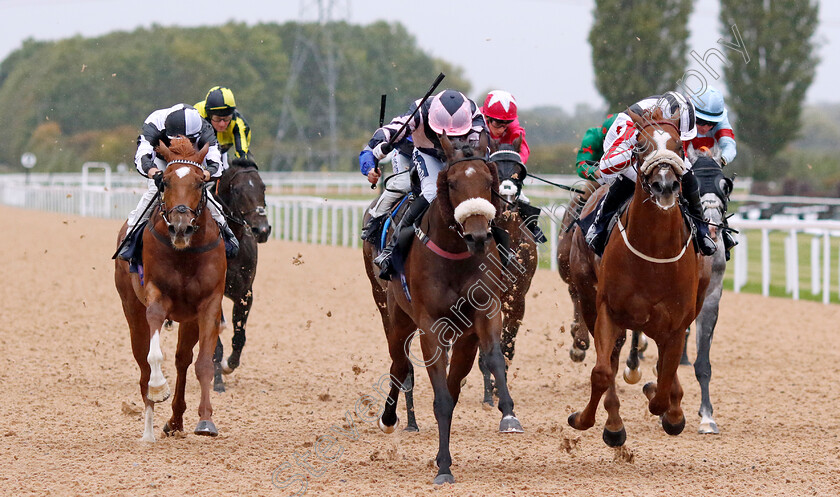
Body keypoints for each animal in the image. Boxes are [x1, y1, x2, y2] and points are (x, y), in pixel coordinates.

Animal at [115, 134, 226, 440]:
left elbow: (203, 363)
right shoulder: (156, 295)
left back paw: (175, 421)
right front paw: (158, 388)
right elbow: (153, 353)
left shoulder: (209, 304)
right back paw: (149, 430)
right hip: (131, 308)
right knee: (142, 365)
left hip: (188, 319)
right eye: (164, 181)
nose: (180, 227)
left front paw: (206, 421)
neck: (184, 253)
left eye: (200, 182)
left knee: (182, 360)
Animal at [364, 130, 520, 482]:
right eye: (452, 183)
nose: (478, 235)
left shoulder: (486, 311)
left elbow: (493, 358)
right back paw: (390, 418)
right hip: (394, 314)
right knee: (399, 366)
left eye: (488, 181)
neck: (455, 256)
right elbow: (440, 397)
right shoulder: (430, 326)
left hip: (462, 336)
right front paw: (445, 467)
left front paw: (508, 414)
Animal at [472, 137, 540, 406]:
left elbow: (506, 346)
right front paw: (488, 394)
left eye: (518, 171)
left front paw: (498, 389)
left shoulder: (517, 298)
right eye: (493, 168)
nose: (507, 193)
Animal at [568, 108, 712, 446]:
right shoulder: (608, 310)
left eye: (678, 145)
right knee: (611, 356)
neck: (654, 254)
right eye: (640, 146)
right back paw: (614, 422)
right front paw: (587, 420)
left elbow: (664, 381)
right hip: (589, 297)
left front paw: (671, 411)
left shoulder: (676, 323)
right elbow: (602, 372)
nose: (665, 185)